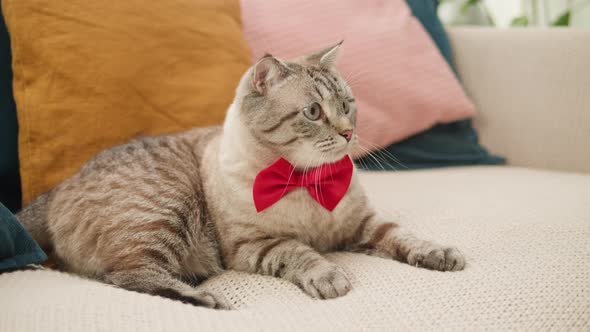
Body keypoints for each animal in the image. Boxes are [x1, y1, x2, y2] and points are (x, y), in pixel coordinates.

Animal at [17, 42, 468, 310]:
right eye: (313, 112)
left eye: (347, 104)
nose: (347, 133)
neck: (306, 181)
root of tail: (60, 185)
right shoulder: (254, 245)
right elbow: (301, 252)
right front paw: (327, 275)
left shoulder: (363, 224)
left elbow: (403, 237)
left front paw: (439, 253)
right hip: (167, 208)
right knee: (128, 275)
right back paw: (204, 298)